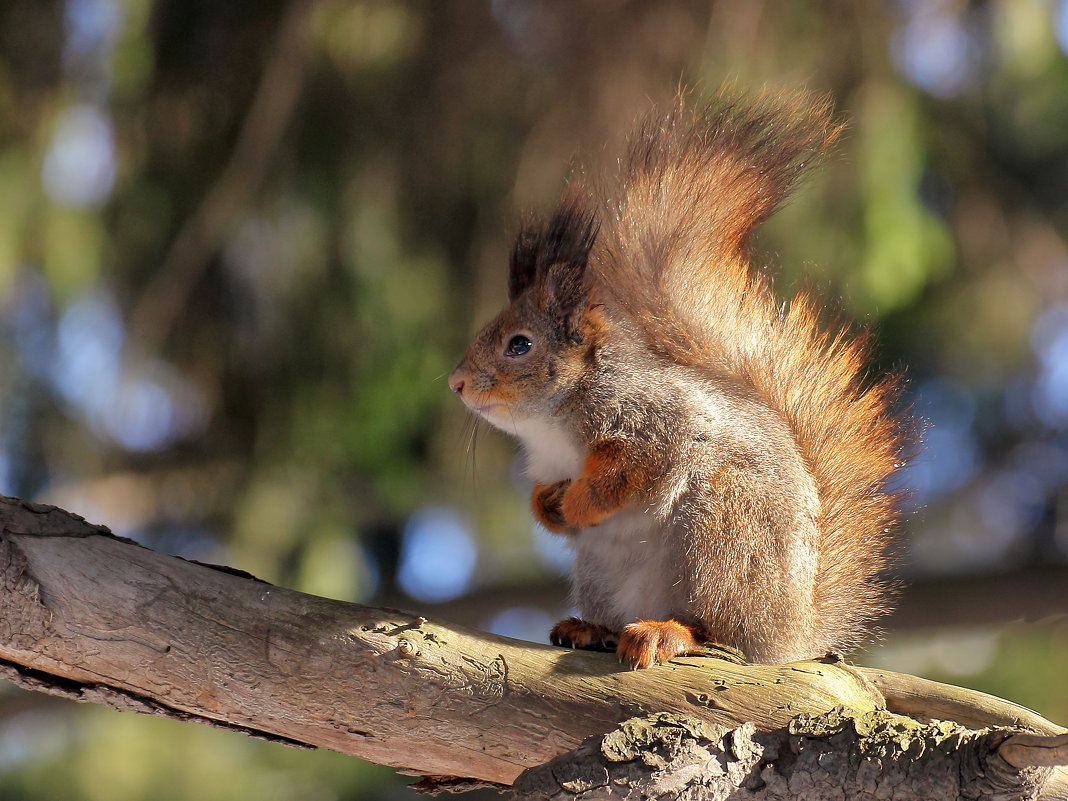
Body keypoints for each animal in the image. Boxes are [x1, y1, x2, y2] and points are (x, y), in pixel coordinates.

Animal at [446, 87, 905, 666]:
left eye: (520, 345)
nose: (456, 383)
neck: (550, 423)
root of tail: (789, 635)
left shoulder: (654, 422)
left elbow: (630, 471)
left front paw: (577, 502)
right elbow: (544, 497)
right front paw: (549, 507)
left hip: (723, 532)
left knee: (717, 631)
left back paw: (667, 632)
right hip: (604, 571)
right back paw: (589, 628)